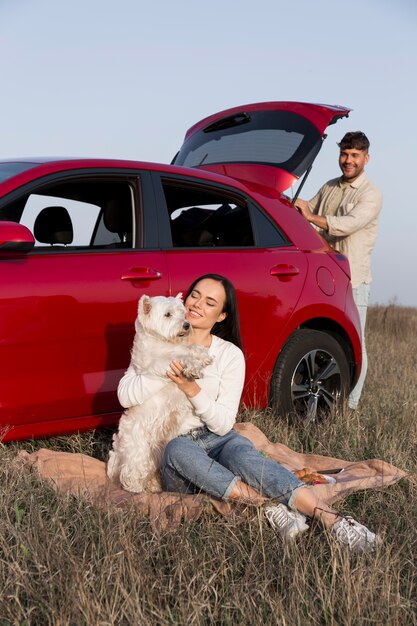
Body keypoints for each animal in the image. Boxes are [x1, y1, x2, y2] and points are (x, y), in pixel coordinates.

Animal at [105, 292, 213, 492]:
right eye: (168, 315)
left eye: (182, 312)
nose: (187, 325)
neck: (164, 342)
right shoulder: (159, 361)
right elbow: (179, 355)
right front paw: (193, 367)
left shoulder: (179, 346)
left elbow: (190, 347)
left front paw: (204, 356)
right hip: (138, 450)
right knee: (131, 471)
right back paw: (135, 488)